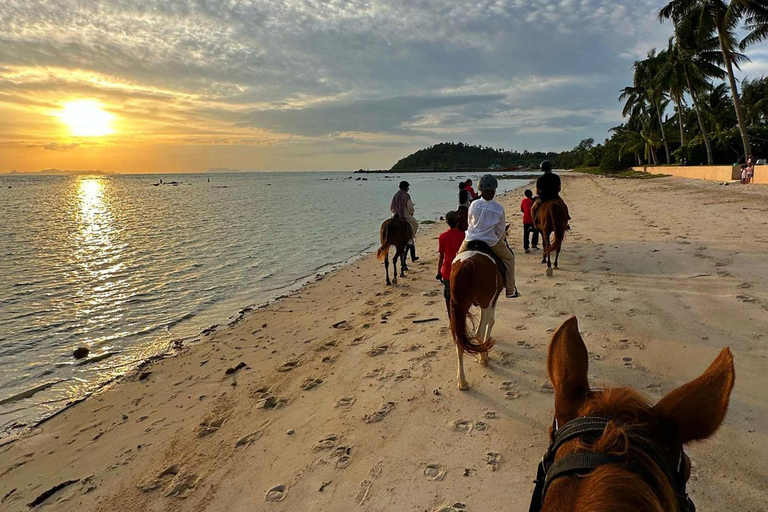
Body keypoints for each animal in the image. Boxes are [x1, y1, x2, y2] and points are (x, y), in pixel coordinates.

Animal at [450, 250, 504, 390]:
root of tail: (467, 261)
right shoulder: (493, 300)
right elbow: (491, 321)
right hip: (485, 303)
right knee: (478, 333)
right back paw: (483, 357)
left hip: (458, 307)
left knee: (459, 339)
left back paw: (462, 381)